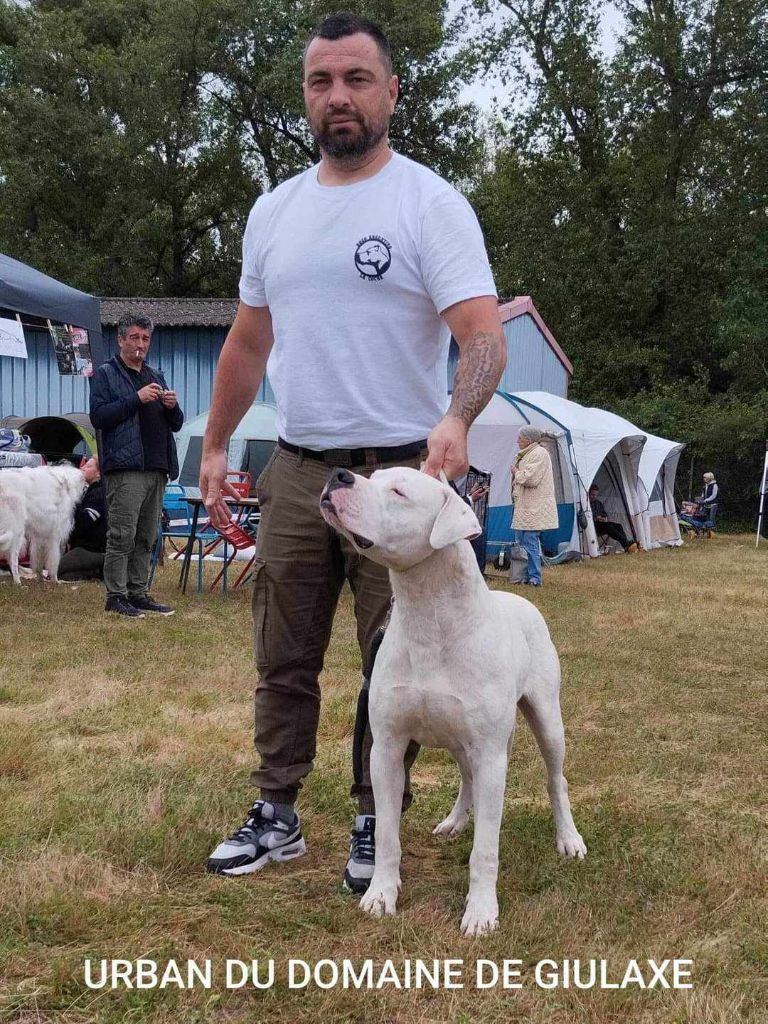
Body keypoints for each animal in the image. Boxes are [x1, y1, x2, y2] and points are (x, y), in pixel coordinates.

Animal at [320, 466, 586, 936]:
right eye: (374, 476)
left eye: (399, 491)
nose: (339, 474)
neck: (429, 616)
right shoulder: (386, 748)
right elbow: (386, 834)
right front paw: (381, 895)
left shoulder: (492, 755)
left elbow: (486, 849)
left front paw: (480, 913)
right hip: (460, 741)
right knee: (466, 778)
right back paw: (456, 821)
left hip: (547, 720)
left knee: (556, 779)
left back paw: (568, 838)